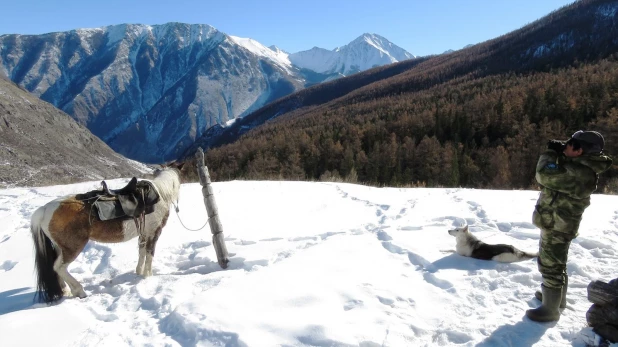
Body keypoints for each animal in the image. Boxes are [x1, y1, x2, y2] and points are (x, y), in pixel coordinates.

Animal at [30, 169, 179, 304]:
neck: (160, 195)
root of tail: (44, 209)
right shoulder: (154, 233)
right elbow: (149, 254)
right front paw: (147, 275)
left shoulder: (143, 234)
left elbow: (141, 253)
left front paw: (139, 272)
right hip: (73, 247)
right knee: (58, 267)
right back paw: (79, 291)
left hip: (60, 247)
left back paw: (65, 290)